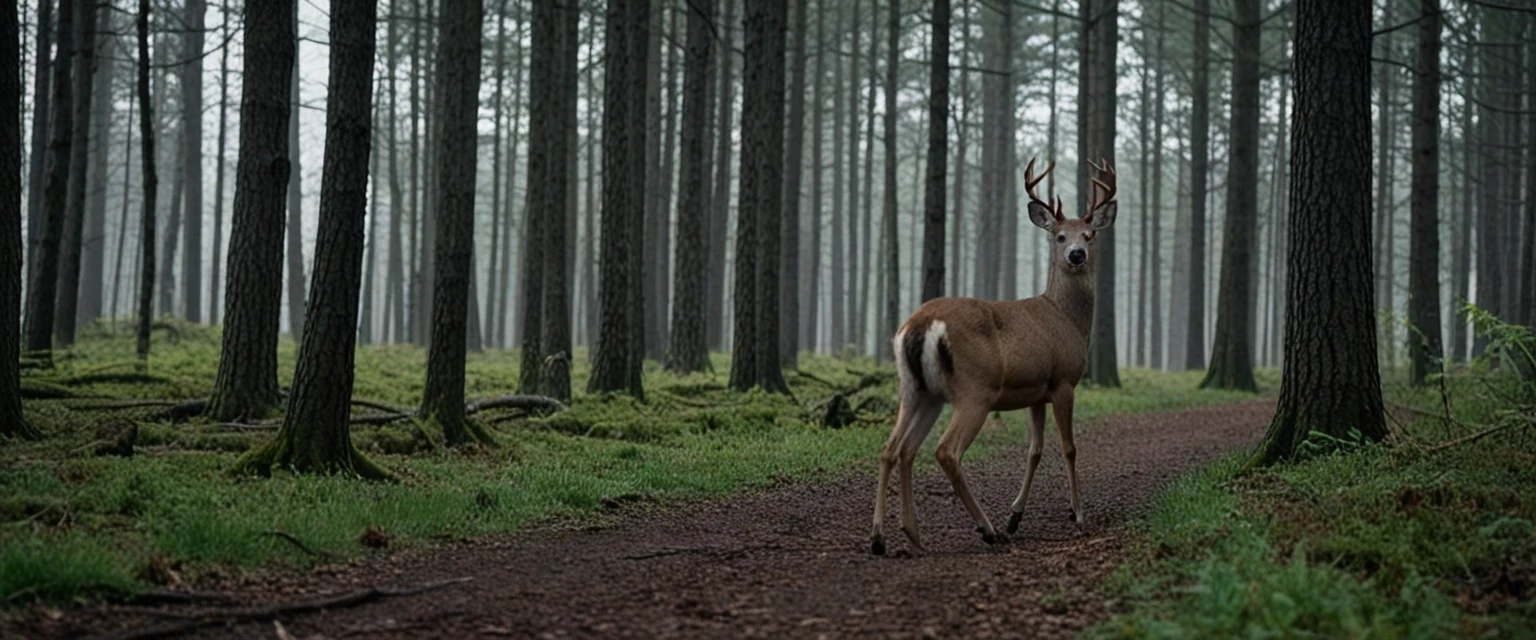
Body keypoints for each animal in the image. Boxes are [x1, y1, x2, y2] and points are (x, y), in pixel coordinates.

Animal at [870, 158, 1117, 556]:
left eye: (1089, 234)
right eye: (1059, 236)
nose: (1076, 255)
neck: (1068, 320)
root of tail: (920, 324)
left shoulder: (1037, 390)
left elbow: (1034, 450)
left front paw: (1015, 517)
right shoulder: (1064, 380)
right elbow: (1069, 448)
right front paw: (1078, 517)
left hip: (917, 390)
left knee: (895, 448)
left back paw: (893, 536)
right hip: (976, 390)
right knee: (945, 451)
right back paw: (985, 530)